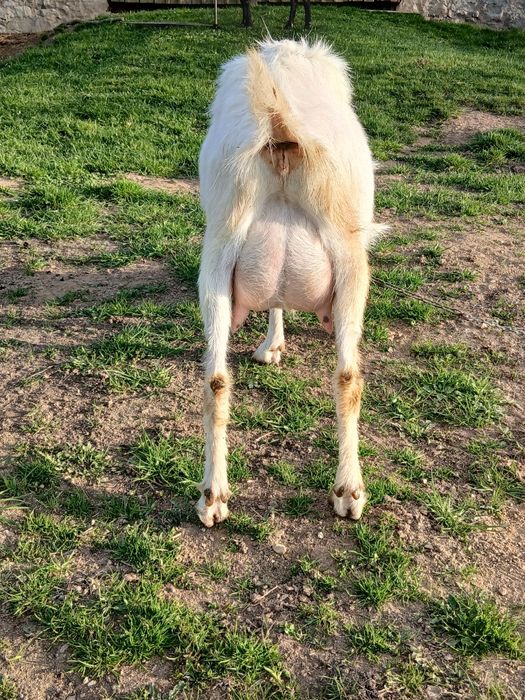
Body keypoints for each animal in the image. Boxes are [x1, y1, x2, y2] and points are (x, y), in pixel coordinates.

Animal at [197, 39, 387, 527]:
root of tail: (279, 125)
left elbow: (276, 298)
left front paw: (272, 347)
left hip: (217, 254)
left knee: (216, 379)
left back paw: (212, 497)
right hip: (352, 256)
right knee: (349, 376)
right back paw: (350, 492)